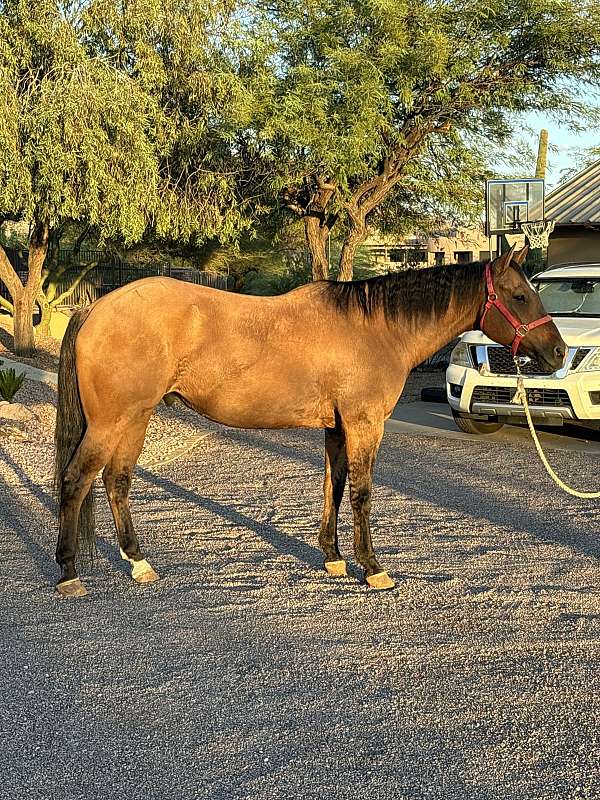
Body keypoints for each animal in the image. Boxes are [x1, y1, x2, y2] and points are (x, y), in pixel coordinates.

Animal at [54, 244, 564, 592]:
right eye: (520, 296)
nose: (558, 351)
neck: (376, 329)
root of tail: (94, 308)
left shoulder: (336, 427)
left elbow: (332, 487)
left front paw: (333, 557)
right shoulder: (363, 425)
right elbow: (360, 493)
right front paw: (372, 568)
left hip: (136, 418)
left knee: (116, 481)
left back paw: (139, 563)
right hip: (112, 421)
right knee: (76, 479)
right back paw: (69, 572)